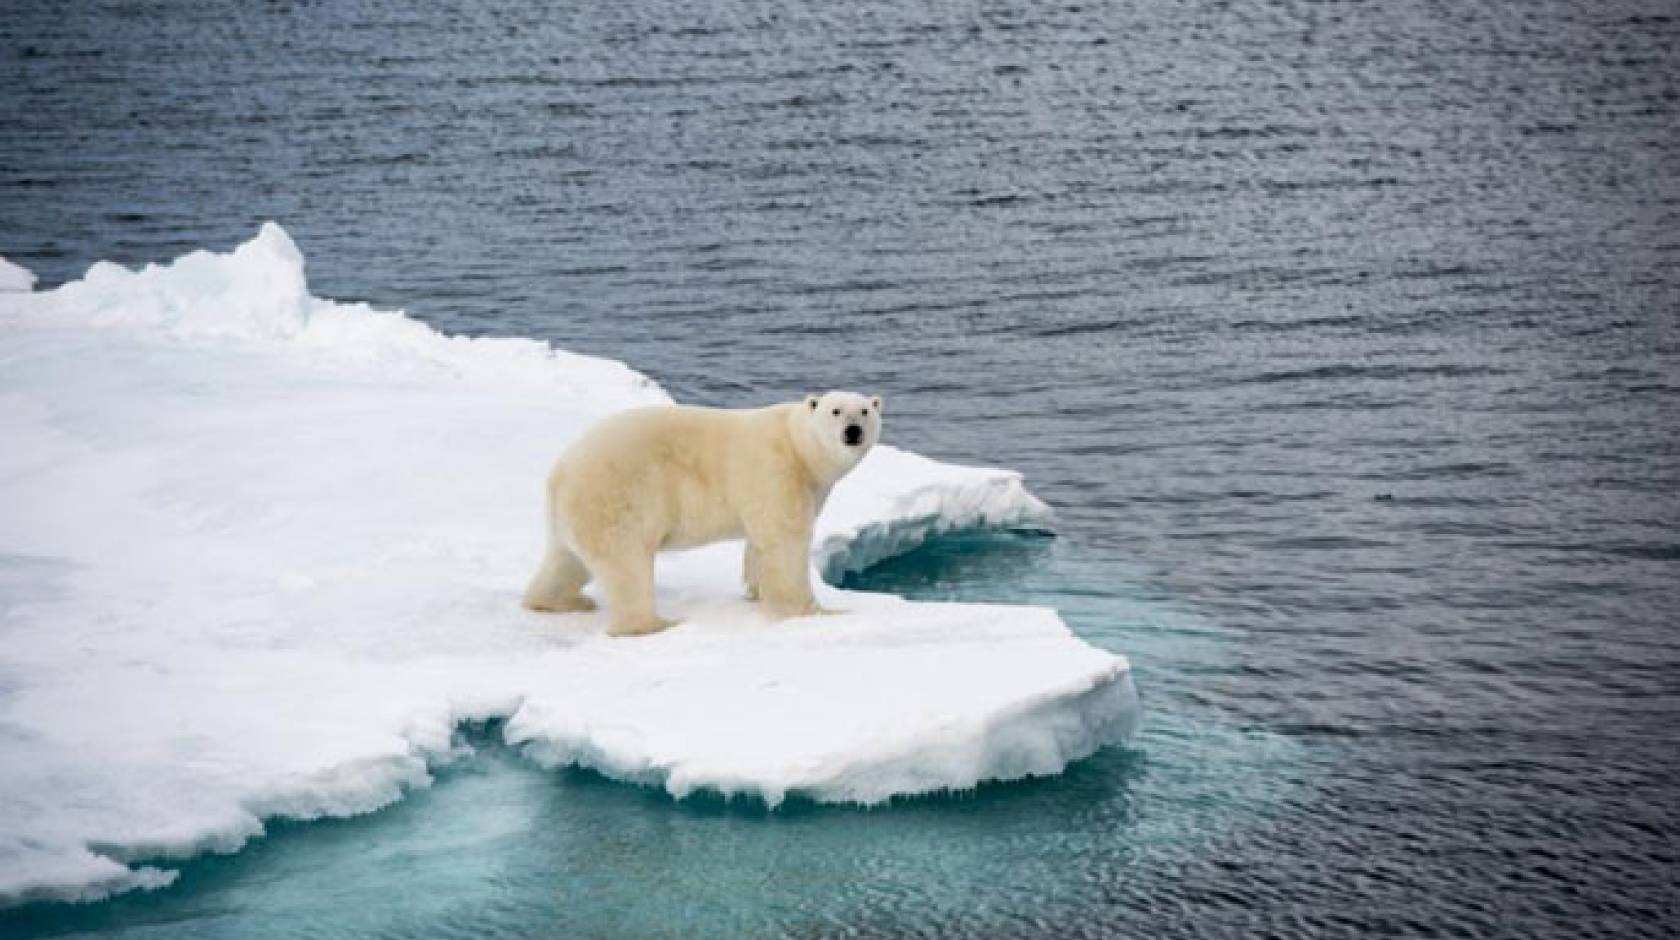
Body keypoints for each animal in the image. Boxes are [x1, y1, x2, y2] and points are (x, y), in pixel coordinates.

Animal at [524, 389, 887, 637]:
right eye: (836, 410)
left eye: (865, 410)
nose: (852, 430)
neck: (798, 445)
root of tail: (559, 473)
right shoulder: (775, 470)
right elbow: (785, 540)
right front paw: (815, 612)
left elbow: (758, 542)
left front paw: (754, 592)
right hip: (617, 496)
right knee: (626, 564)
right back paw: (654, 624)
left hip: (575, 512)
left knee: (567, 560)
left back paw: (560, 601)